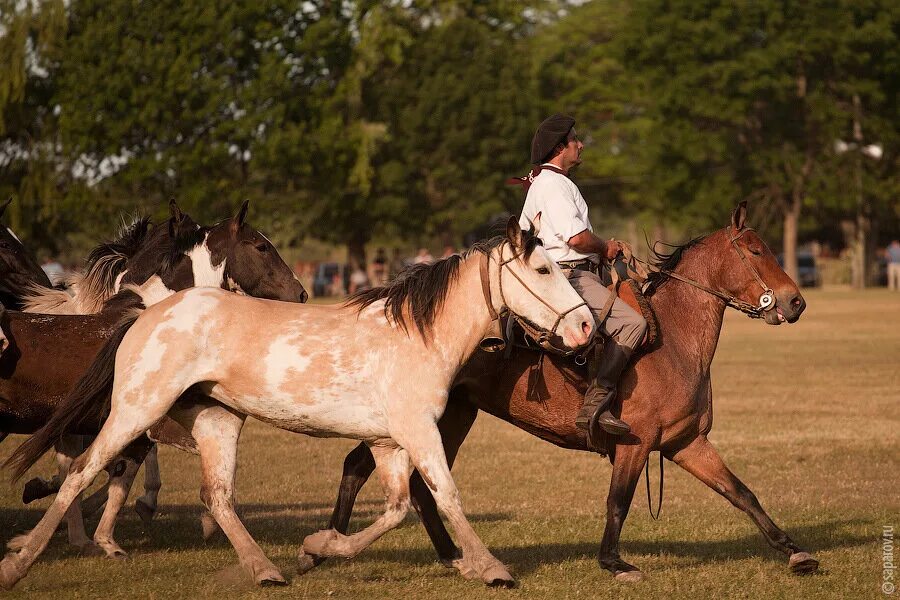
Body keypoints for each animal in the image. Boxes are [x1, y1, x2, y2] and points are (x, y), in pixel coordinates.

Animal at [308, 202, 816, 580]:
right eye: (755, 250)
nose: (795, 302)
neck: (673, 341)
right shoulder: (636, 445)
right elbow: (618, 502)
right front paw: (614, 562)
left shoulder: (686, 442)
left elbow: (742, 493)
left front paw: (794, 551)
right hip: (420, 421)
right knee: (364, 468)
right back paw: (322, 549)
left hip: (449, 419)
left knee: (413, 485)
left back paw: (449, 556)